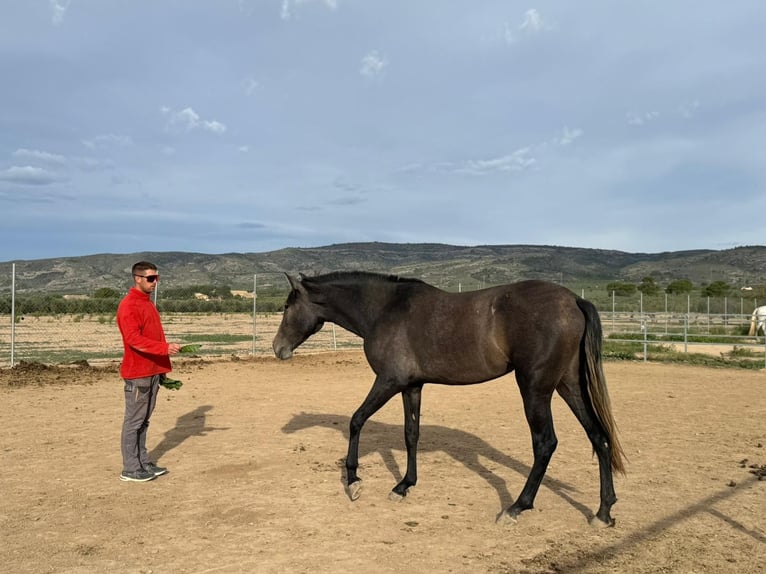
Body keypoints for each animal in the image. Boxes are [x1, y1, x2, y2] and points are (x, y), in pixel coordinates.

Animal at [272, 272, 628, 528]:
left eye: (288, 306)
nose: (278, 348)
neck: (385, 310)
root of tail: (574, 300)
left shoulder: (388, 381)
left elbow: (356, 420)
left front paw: (353, 481)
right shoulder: (412, 386)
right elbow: (411, 434)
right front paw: (404, 486)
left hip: (535, 388)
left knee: (545, 443)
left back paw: (516, 508)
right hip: (569, 385)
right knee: (598, 436)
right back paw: (603, 513)